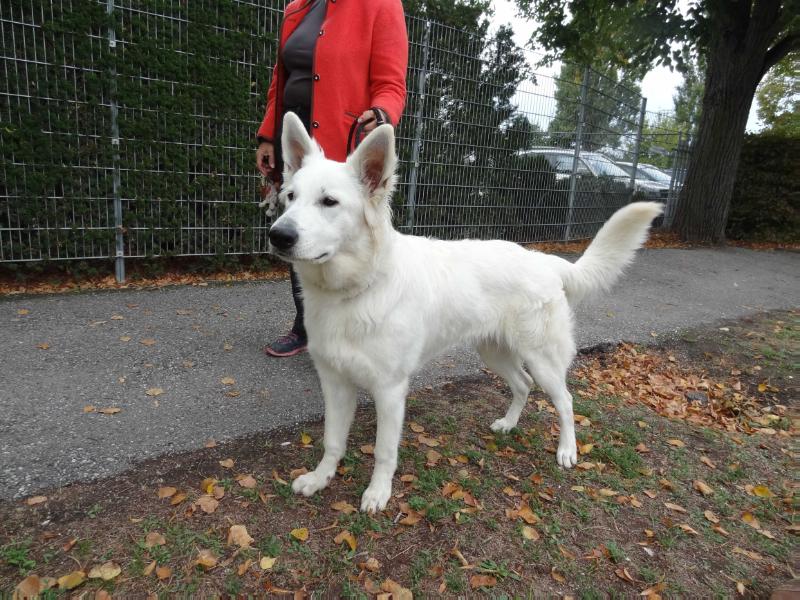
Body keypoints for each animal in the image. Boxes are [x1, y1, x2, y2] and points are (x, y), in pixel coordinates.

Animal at [268, 112, 664, 510]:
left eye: (329, 202)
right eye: (290, 197)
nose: (278, 235)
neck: (356, 289)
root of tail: (544, 260)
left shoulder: (390, 391)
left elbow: (384, 451)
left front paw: (378, 492)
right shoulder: (335, 383)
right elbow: (332, 441)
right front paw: (320, 478)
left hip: (543, 360)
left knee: (565, 400)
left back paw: (567, 450)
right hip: (494, 352)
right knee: (523, 385)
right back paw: (508, 424)